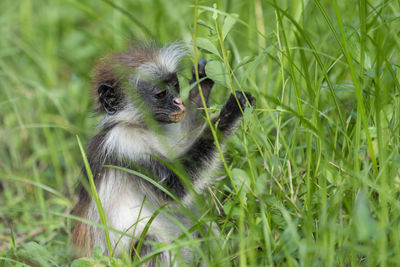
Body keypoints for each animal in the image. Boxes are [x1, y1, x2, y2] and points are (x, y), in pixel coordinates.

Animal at [71, 42, 253, 266]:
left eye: (175, 85)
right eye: (160, 94)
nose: (179, 102)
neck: (140, 127)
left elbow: (185, 140)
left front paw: (201, 84)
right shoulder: (124, 144)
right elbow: (175, 188)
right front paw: (229, 113)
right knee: (150, 241)